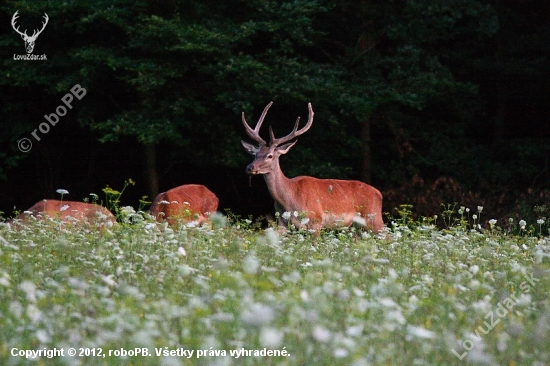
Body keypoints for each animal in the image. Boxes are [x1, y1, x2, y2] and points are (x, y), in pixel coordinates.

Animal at [244, 101, 386, 232]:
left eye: (270, 156)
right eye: (255, 154)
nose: (250, 167)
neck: (289, 200)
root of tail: (379, 194)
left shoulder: (316, 220)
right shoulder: (281, 222)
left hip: (374, 218)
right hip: (357, 227)